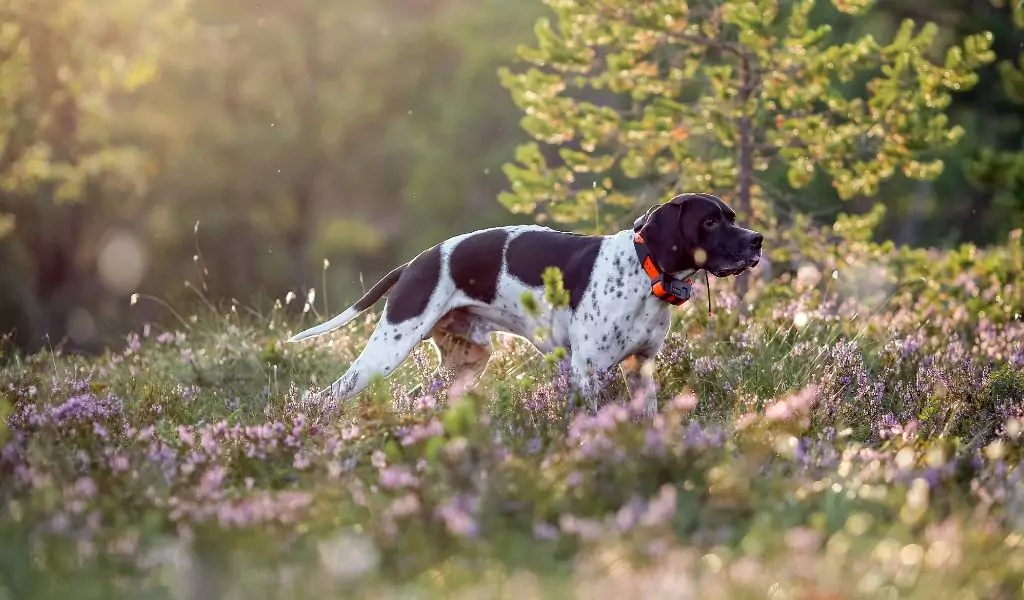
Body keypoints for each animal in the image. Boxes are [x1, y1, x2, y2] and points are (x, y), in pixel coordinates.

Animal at [286, 193, 761, 413]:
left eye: (732, 217)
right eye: (709, 222)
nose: (756, 241)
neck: (645, 275)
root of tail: (415, 262)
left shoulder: (640, 369)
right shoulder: (587, 372)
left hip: (466, 363)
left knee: (418, 397)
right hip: (386, 352)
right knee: (324, 399)